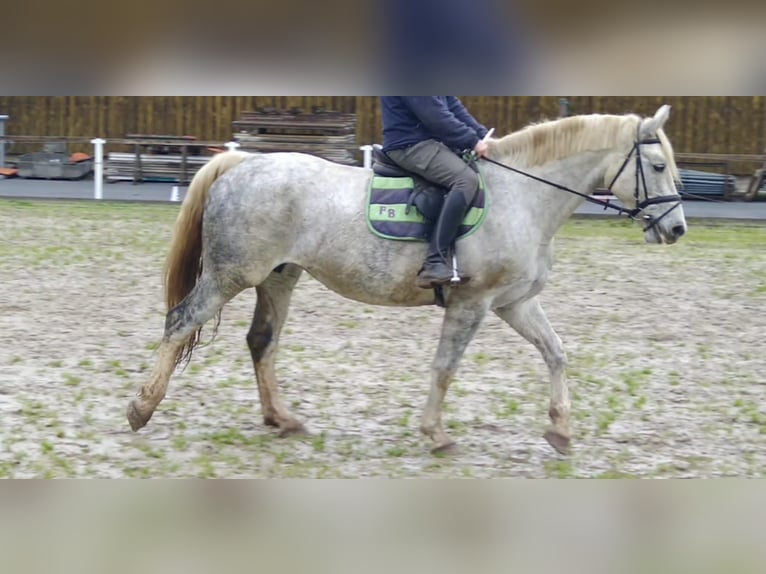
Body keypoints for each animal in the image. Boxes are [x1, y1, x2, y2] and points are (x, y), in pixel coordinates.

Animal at [127, 105, 687, 455]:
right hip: (231, 275)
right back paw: (141, 408)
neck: (522, 196)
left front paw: (562, 431)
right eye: (658, 165)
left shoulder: (514, 303)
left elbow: (556, 353)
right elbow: (445, 368)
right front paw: (435, 433)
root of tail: (244, 162)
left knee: (261, 341)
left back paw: (280, 419)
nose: (676, 229)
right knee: (179, 322)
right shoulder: (473, 303)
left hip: (279, 278)